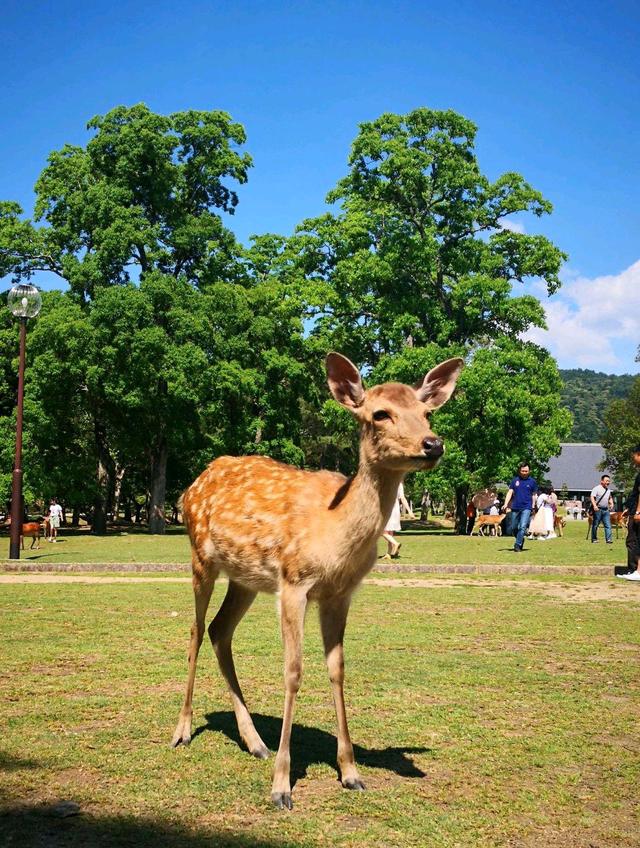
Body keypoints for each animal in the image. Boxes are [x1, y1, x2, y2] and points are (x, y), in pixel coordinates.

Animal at [172, 350, 462, 808]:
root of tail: (191, 485)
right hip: (200, 556)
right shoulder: (294, 583)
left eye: (427, 412)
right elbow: (293, 670)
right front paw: (281, 786)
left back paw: (255, 741)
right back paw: (182, 731)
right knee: (196, 630)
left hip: (245, 580)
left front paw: (351, 772)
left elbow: (337, 668)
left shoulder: (340, 593)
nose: (433, 444)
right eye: (380, 413)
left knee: (220, 630)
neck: (335, 532)